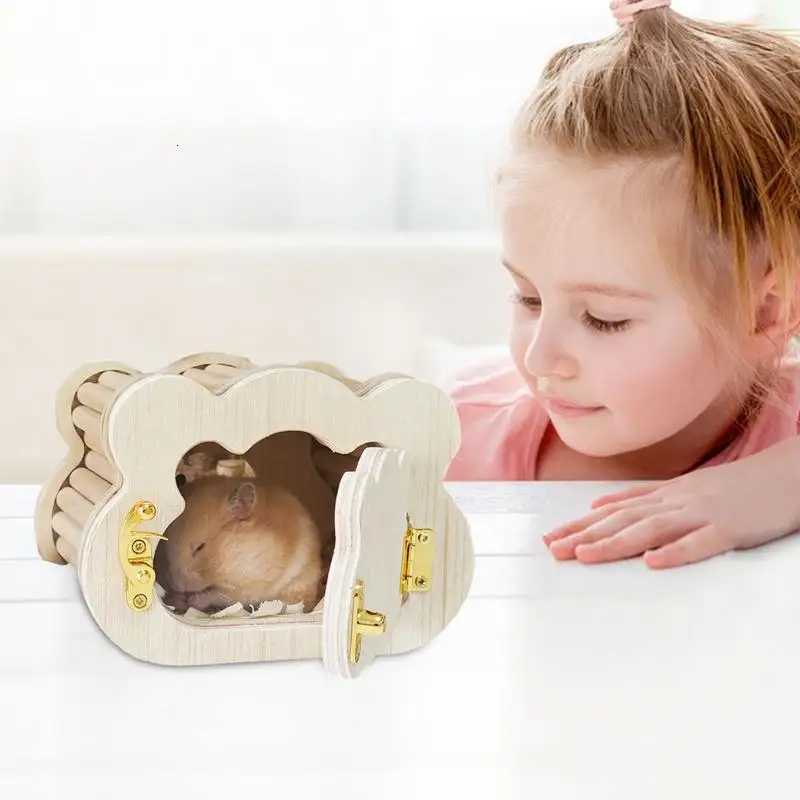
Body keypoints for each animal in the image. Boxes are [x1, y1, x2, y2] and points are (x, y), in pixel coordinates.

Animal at [154, 475, 325, 615]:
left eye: (200, 547)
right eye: (165, 547)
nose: (178, 586)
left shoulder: (248, 584)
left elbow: (219, 596)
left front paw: (192, 600)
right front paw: (178, 598)